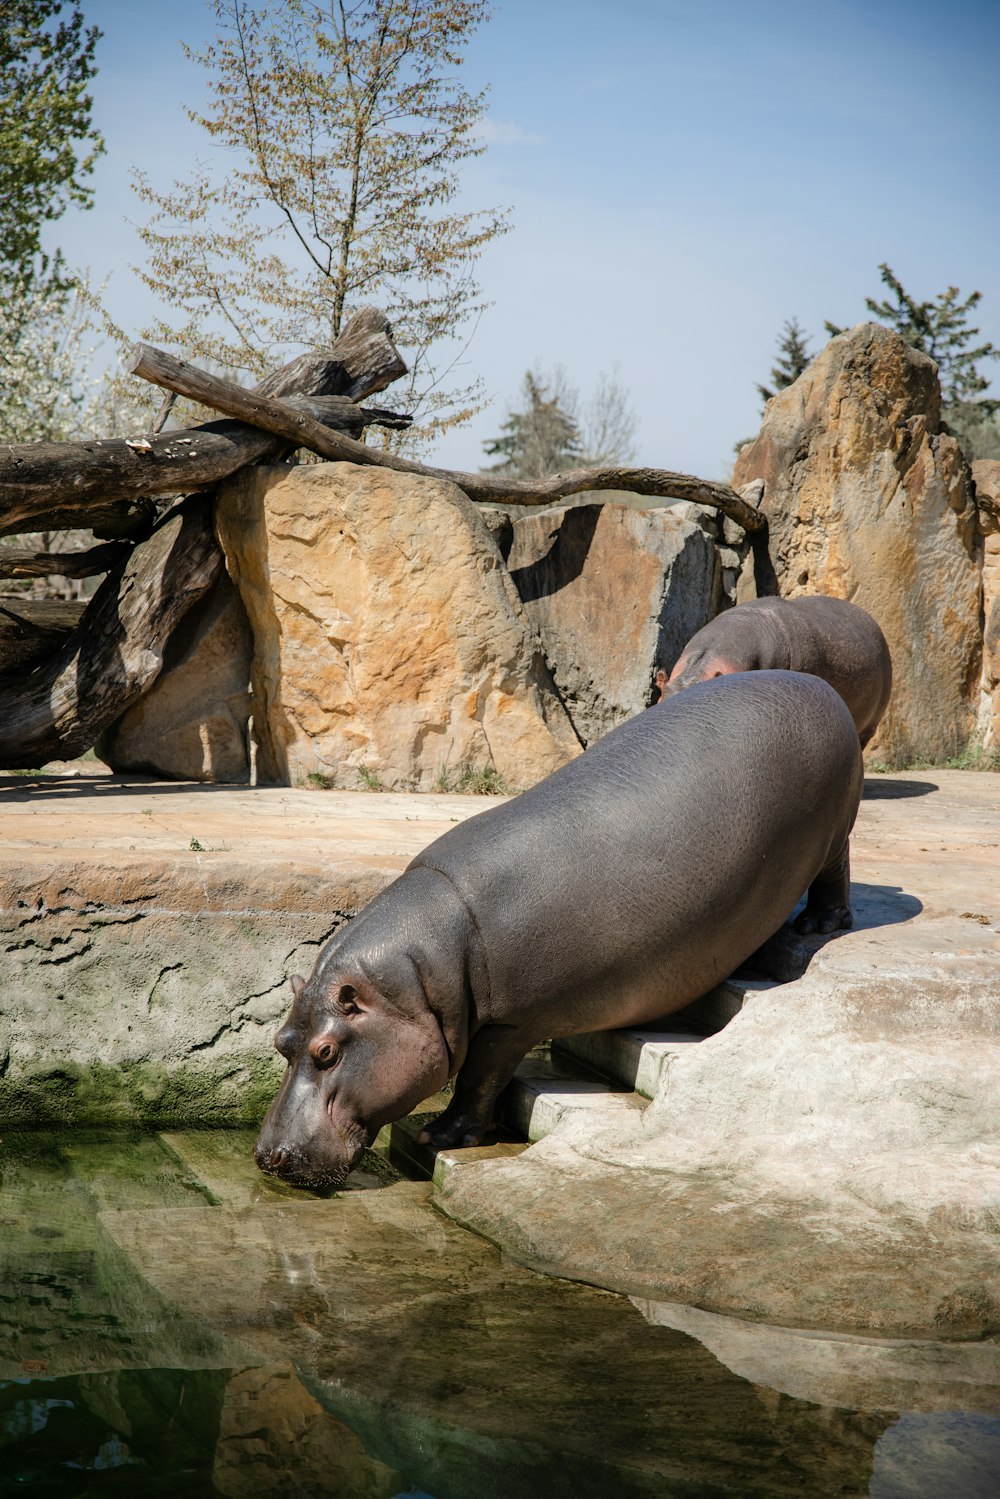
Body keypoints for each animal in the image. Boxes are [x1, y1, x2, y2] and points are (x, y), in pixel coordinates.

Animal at [254, 674, 863, 1187]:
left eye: (327, 1052)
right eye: (282, 1042)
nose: (266, 1156)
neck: (424, 977)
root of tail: (816, 685)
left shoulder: (511, 1022)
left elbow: (479, 1076)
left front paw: (441, 1136)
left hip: (839, 829)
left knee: (836, 874)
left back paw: (817, 922)